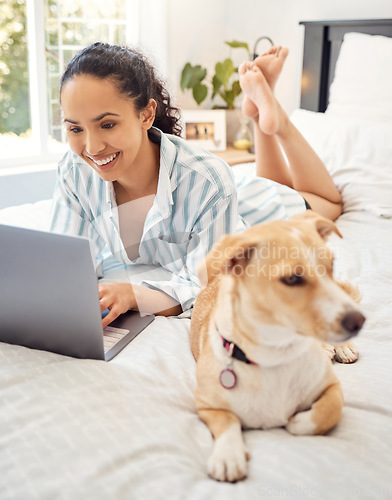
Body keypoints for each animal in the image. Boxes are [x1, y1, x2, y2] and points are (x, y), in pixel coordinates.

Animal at [189, 211, 364, 480]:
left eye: (331, 267)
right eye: (292, 279)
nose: (359, 321)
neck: (275, 355)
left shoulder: (332, 387)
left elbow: (329, 409)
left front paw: (300, 422)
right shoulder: (207, 405)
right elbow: (228, 423)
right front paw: (228, 455)